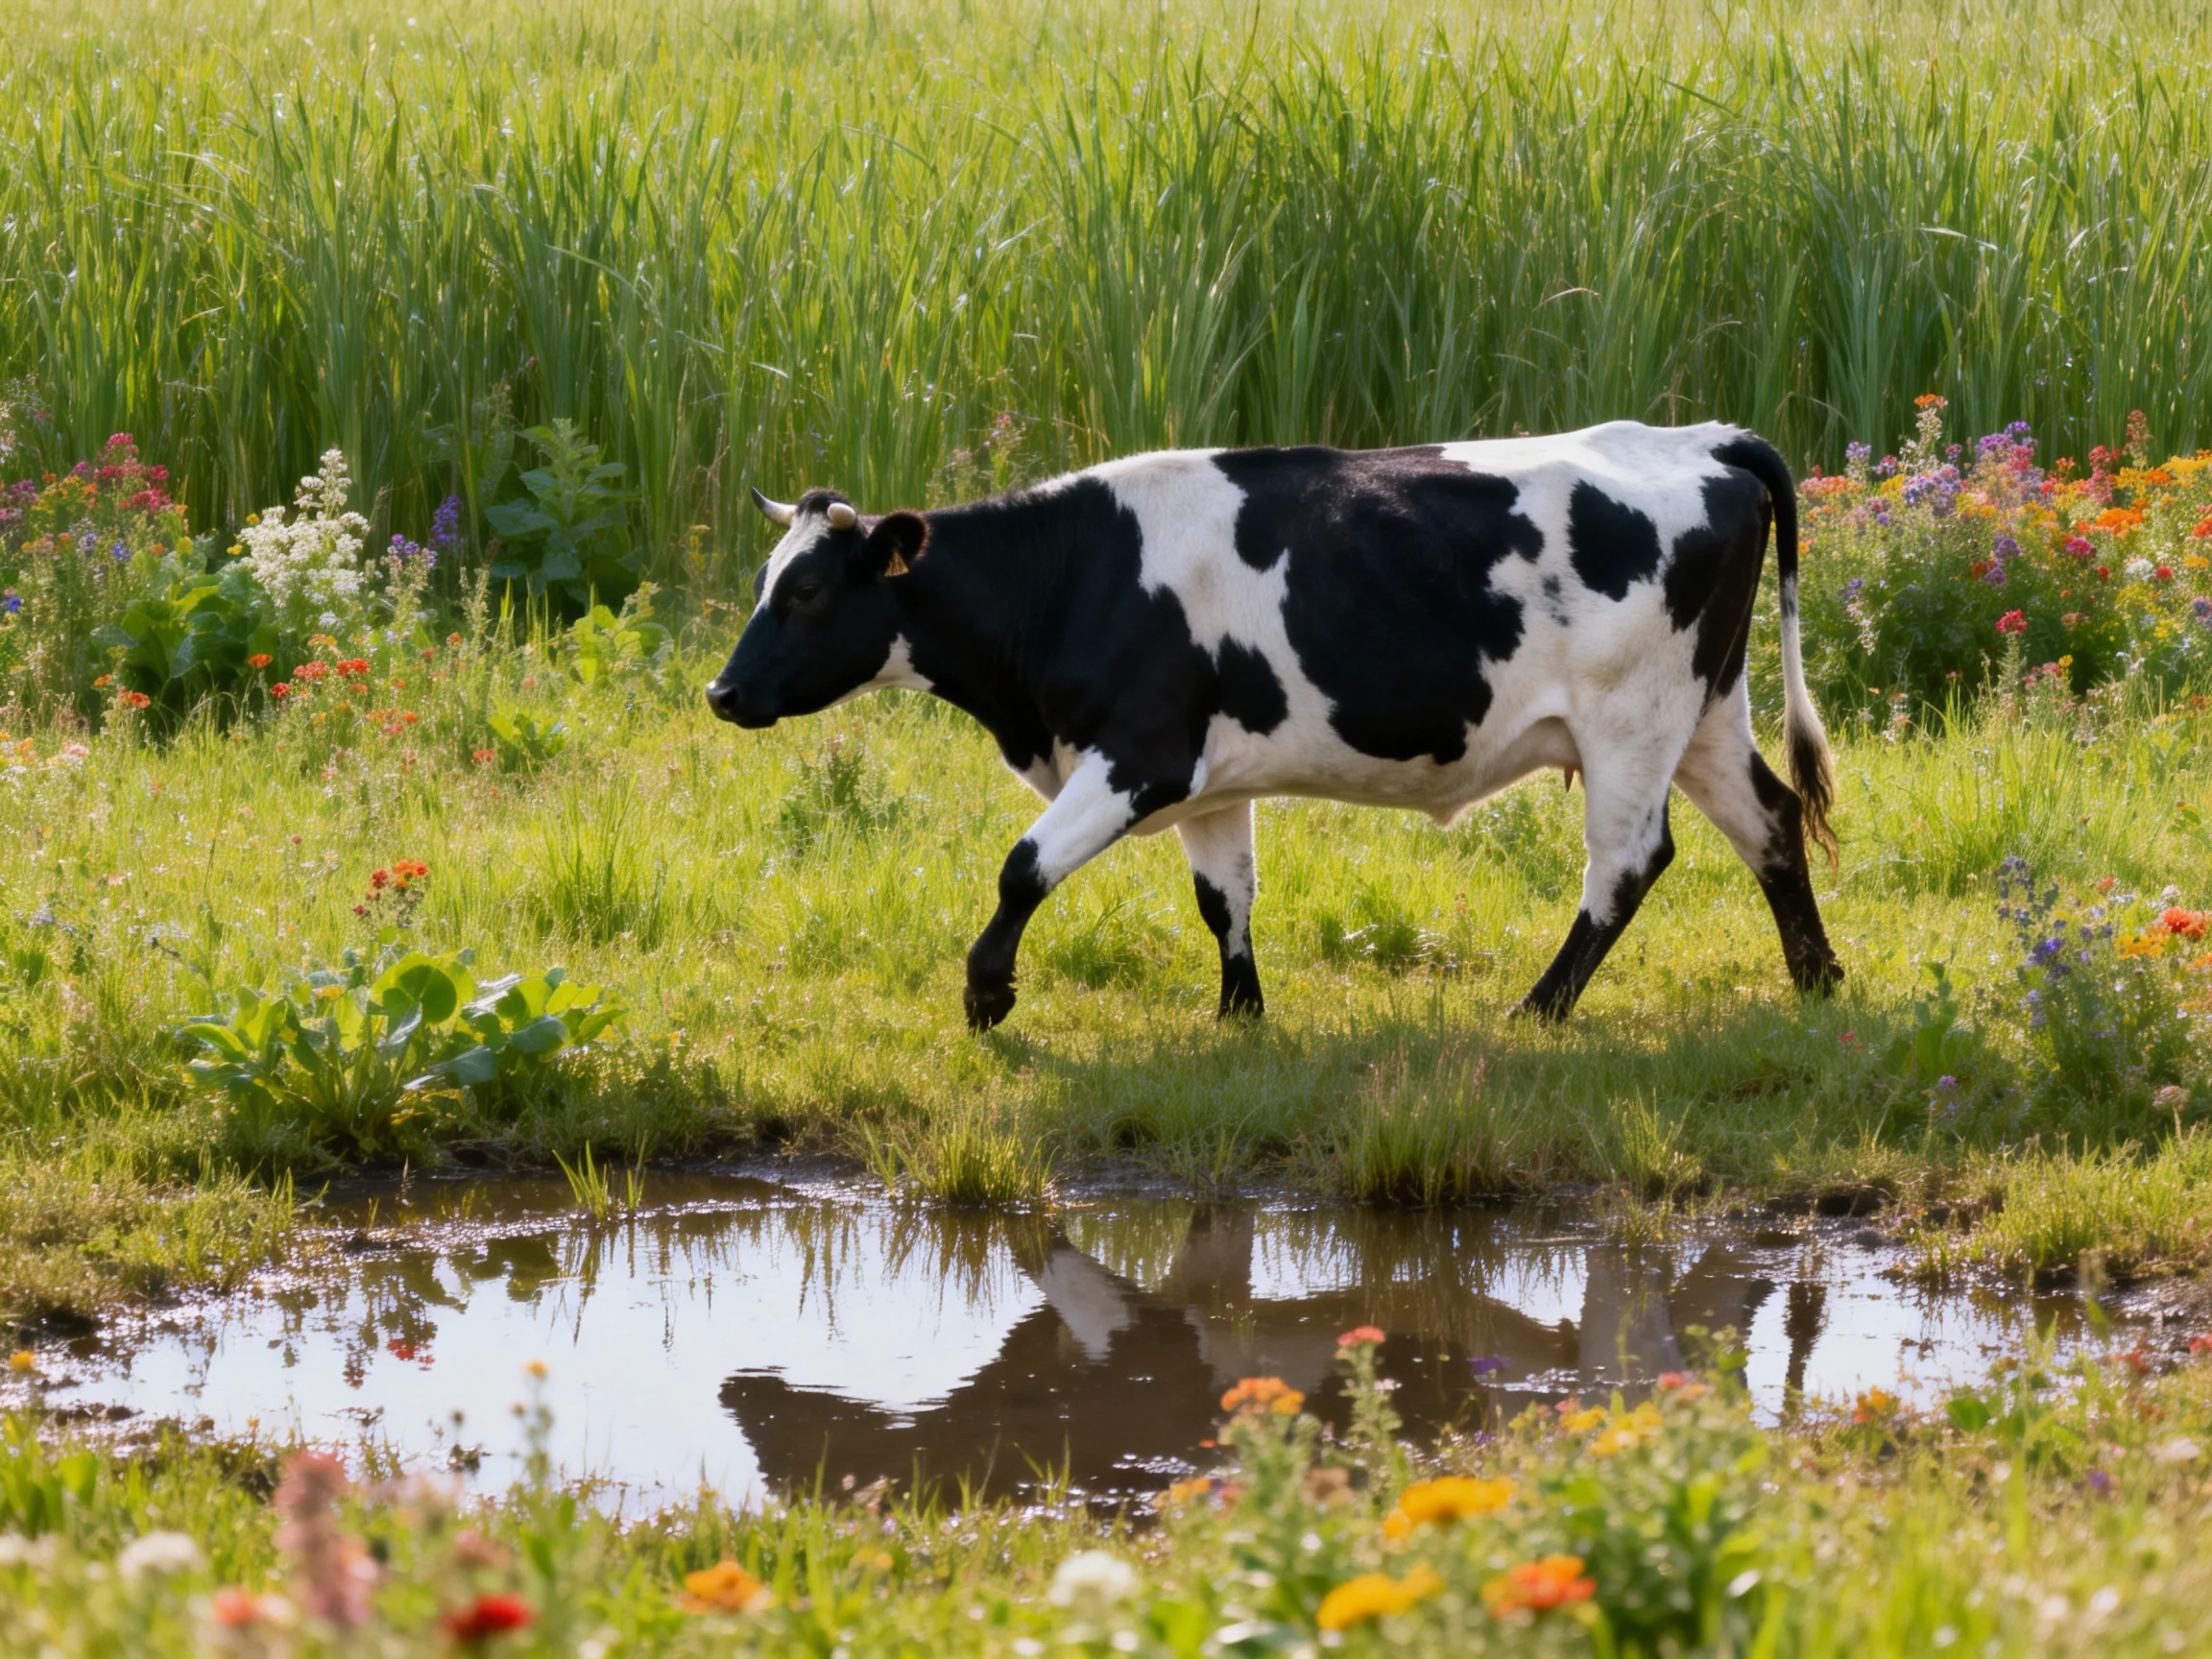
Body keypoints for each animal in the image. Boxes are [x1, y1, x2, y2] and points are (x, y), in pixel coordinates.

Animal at [706, 422, 1843, 1031]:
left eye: (807, 590)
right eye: (765, 580)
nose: (721, 694)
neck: (1074, 577)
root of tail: (1699, 439)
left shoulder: (1143, 755)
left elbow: (1022, 866)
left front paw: (987, 995)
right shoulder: (1214, 779)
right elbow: (1226, 900)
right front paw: (1238, 1018)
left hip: (1631, 724)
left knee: (1627, 863)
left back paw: (1538, 1010)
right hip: (1706, 713)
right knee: (1774, 821)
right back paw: (1819, 983)